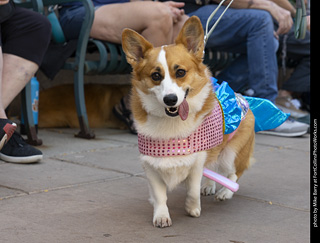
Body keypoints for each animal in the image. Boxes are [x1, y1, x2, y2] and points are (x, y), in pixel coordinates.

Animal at [122, 16, 255, 227]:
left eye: (181, 72)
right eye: (156, 76)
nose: (170, 99)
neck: (171, 123)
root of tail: (240, 96)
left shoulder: (196, 161)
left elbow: (192, 190)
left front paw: (192, 209)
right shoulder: (151, 165)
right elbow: (160, 196)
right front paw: (161, 216)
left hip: (231, 153)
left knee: (234, 174)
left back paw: (225, 192)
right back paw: (209, 186)